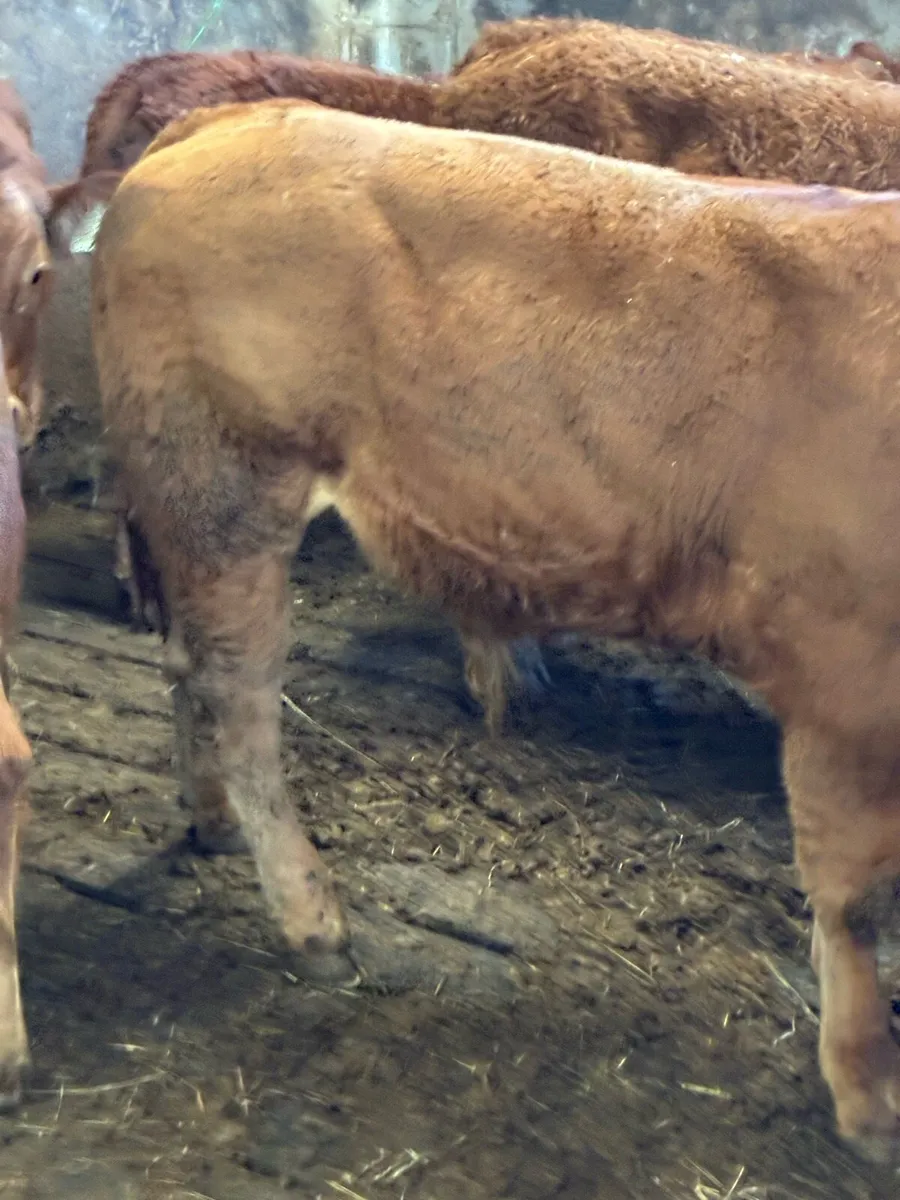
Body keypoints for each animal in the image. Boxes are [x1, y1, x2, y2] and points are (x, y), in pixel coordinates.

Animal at [90, 96, 900, 1158]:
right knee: (240, 697)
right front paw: (867, 1096)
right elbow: (856, 903)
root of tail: (237, 116)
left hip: (194, 511)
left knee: (191, 666)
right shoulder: (847, 680)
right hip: (229, 489)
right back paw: (310, 915)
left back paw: (212, 819)